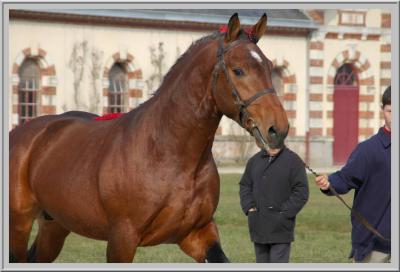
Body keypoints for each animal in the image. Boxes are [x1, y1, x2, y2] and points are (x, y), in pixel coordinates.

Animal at [9, 13, 290, 264]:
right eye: (238, 70)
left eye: (269, 67)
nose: (278, 129)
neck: (167, 151)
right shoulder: (122, 240)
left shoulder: (198, 234)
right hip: (19, 224)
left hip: (55, 225)